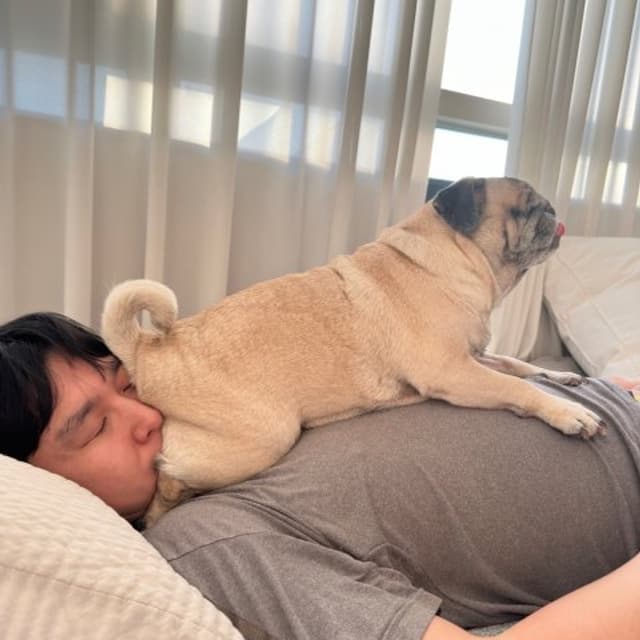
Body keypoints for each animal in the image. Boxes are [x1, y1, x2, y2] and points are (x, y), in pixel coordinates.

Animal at [101, 177, 605, 525]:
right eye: (526, 208)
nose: (554, 211)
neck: (450, 259)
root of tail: (150, 350)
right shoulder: (453, 371)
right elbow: (516, 389)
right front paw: (568, 412)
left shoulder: (474, 356)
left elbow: (518, 366)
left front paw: (563, 378)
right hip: (264, 437)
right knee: (167, 479)